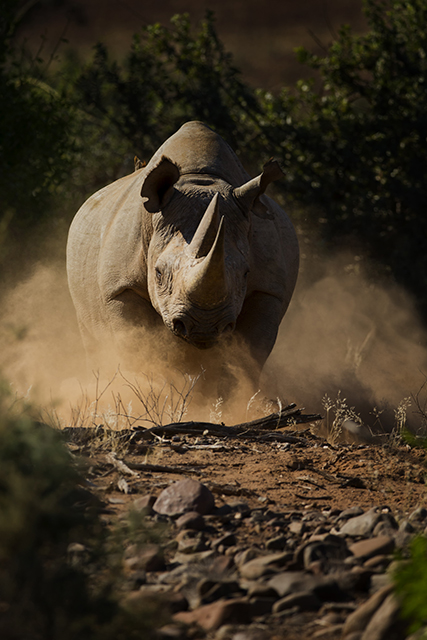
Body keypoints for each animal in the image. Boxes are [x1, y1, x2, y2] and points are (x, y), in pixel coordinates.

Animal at [66, 122, 299, 394]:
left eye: (245, 273)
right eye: (158, 273)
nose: (204, 325)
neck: (202, 182)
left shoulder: (268, 290)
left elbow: (248, 357)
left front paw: (233, 400)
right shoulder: (120, 288)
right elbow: (138, 348)